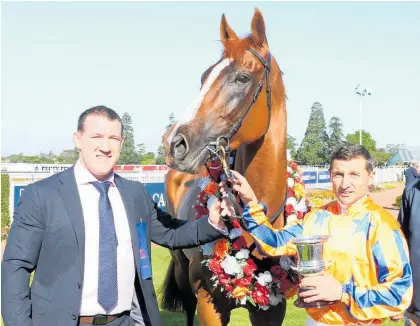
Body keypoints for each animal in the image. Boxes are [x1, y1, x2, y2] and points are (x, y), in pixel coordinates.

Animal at [161, 8, 288, 324]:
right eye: (204, 75)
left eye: (242, 77)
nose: (174, 143)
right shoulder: (209, 303)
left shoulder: (274, 308)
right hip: (181, 269)